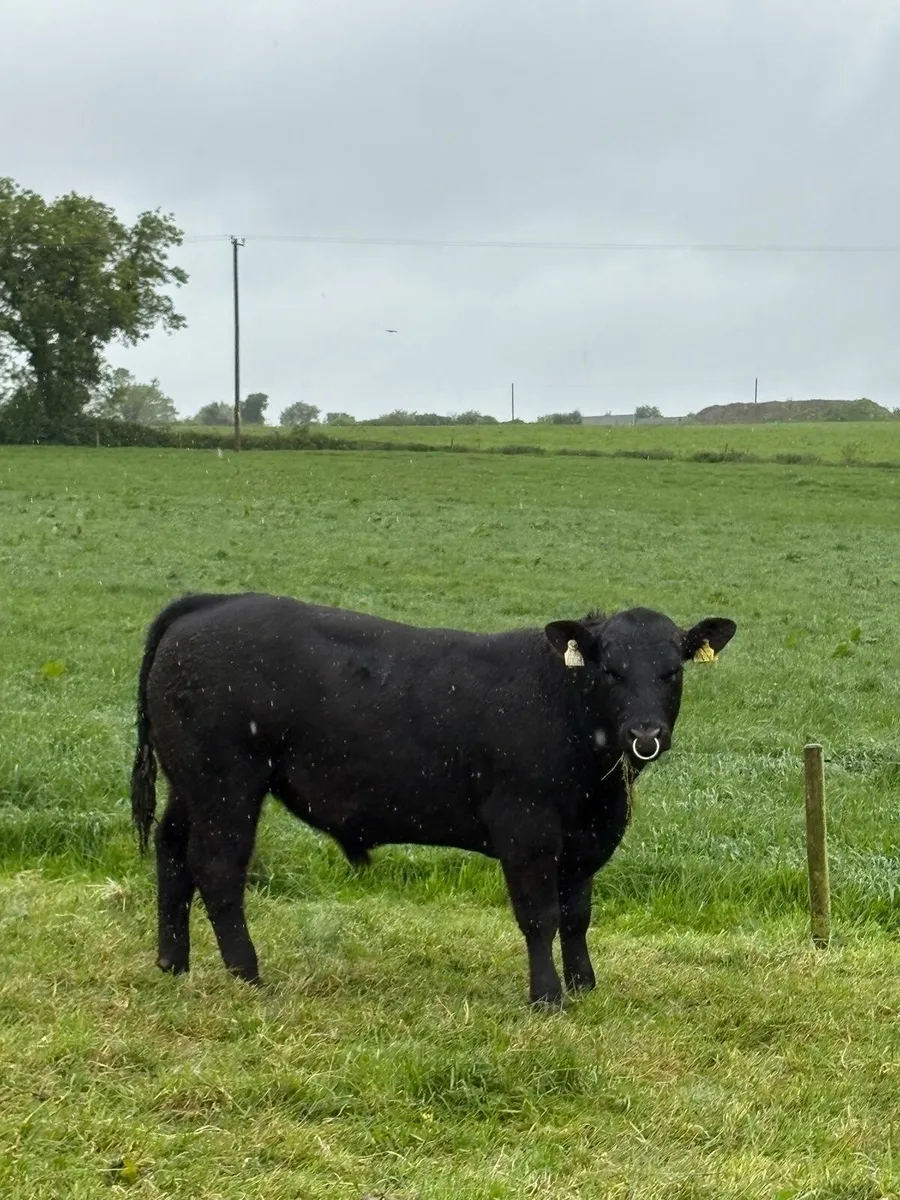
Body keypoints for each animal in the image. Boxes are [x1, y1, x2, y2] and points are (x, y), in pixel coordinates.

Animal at [130, 593, 736, 1007]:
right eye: (610, 669)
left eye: (672, 671)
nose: (645, 733)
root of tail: (209, 603)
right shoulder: (527, 829)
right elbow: (540, 916)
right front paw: (547, 997)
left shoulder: (586, 839)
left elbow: (576, 915)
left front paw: (584, 985)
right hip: (226, 785)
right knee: (217, 869)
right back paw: (247, 975)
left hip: (190, 786)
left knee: (172, 853)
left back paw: (172, 963)